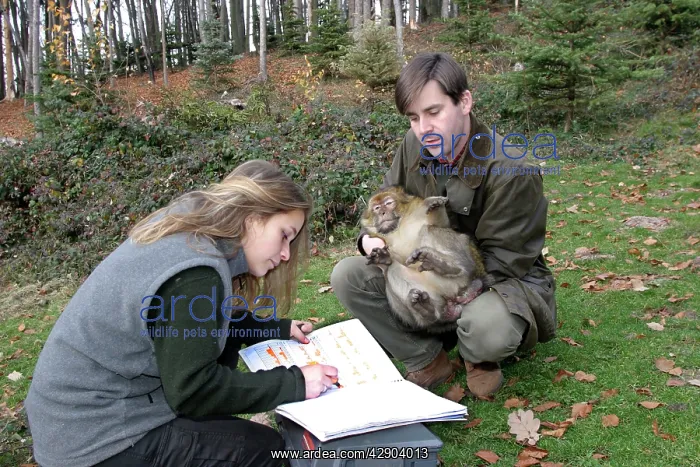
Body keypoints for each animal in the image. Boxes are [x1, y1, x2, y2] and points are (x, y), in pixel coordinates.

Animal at [360, 186, 494, 334]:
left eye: (389, 203)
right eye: (377, 208)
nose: (383, 212)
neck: (398, 227)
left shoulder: (418, 208)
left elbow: (443, 225)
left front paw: (435, 205)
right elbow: (393, 260)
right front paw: (383, 258)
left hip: (465, 275)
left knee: (430, 229)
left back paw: (446, 265)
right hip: (436, 297)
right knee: (392, 270)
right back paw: (427, 312)